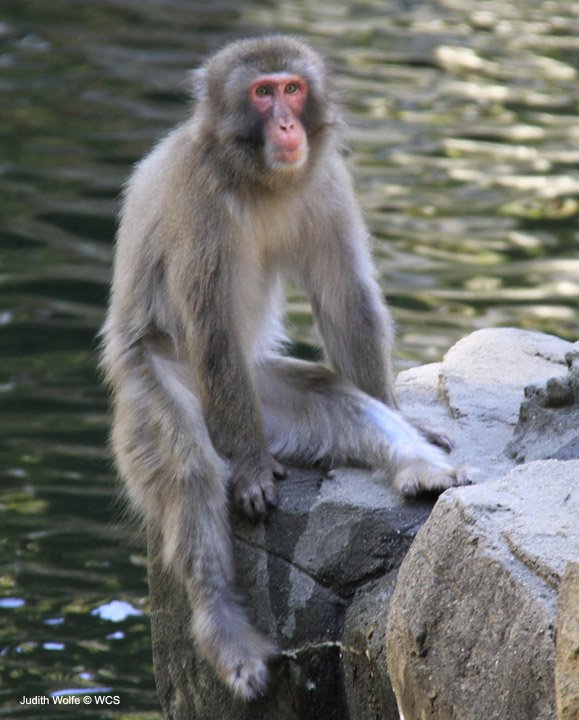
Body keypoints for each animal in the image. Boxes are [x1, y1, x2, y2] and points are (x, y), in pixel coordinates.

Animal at [101, 35, 471, 701]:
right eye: (261, 92)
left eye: (292, 89)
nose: (285, 123)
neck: (256, 177)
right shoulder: (198, 203)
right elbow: (212, 328)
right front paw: (249, 470)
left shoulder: (325, 182)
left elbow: (346, 297)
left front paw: (405, 417)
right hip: (165, 389)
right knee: (190, 468)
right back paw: (224, 629)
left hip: (256, 397)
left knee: (328, 394)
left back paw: (420, 468)